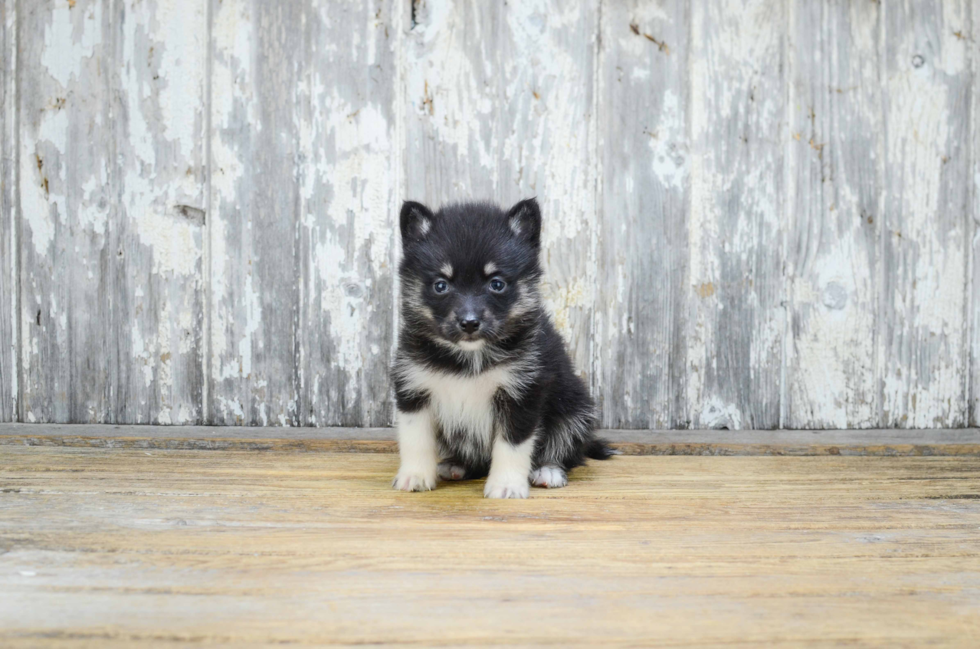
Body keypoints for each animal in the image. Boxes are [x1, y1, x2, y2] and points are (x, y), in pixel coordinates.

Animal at [390, 196, 612, 496]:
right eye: (440, 285)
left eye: (496, 284)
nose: (469, 323)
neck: (468, 358)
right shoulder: (414, 388)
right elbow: (415, 438)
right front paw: (414, 475)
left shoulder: (522, 394)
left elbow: (513, 444)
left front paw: (506, 485)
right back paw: (457, 465)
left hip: (575, 408)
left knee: (566, 448)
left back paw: (549, 470)